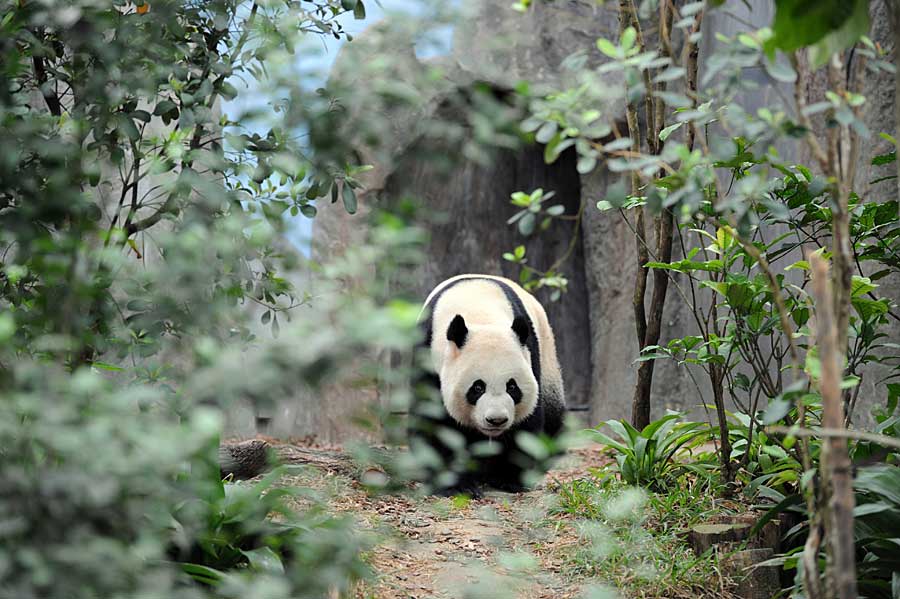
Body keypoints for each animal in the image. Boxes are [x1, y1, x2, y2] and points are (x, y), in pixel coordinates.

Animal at [410, 274, 568, 496]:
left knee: (554, 420)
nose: (497, 420)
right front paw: (458, 486)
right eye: (477, 388)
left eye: (512, 387)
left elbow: (526, 422)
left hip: (548, 357)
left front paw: (508, 480)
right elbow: (435, 422)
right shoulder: (427, 356)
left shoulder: (529, 353)